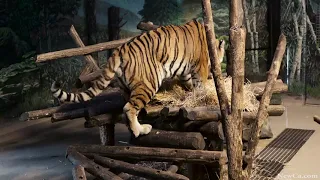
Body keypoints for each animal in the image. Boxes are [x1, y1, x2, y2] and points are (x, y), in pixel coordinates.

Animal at [50, 19, 225, 138]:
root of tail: (119, 50)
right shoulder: (200, 66)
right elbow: (201, 84)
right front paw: (205, 95)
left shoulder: (185, 72)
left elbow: (189, 83)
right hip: (148, 84)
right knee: (129, 108)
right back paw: (139, 131)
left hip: (126, 87)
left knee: (127, 109)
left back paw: (135, 128)